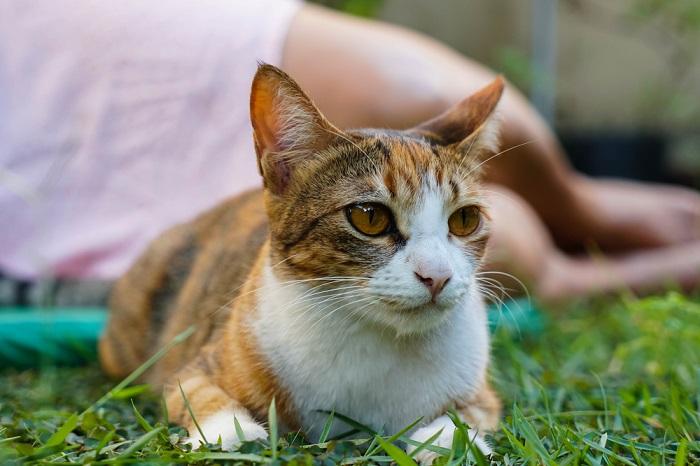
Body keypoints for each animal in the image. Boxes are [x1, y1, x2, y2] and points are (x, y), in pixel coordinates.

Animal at [98, 62, 504, 462]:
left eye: (465, 219)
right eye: (370, 217)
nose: (437, 276)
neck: (375, 336)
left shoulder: (483, 396)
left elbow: (466, 417)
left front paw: (449, 439)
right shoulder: (196, 367)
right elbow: (198, 393)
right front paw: (232, 434)